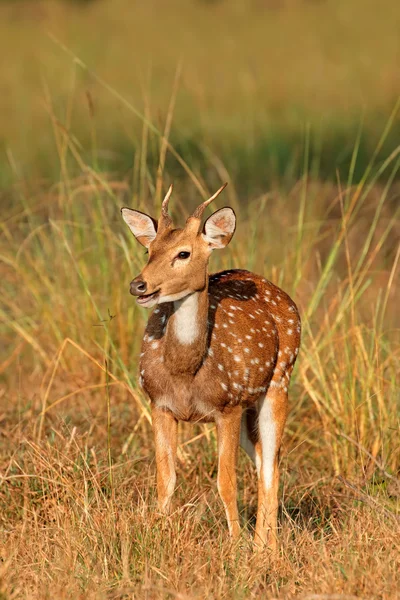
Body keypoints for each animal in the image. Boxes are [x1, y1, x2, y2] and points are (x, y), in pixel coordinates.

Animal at [122, 183, 300, 548]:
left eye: (183, 254)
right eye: (149, 250)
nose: (138, 285)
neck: (186, 372)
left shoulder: (226, 406)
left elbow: (226, 483)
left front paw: (235, 545)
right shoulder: (157, 403)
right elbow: (166, 479)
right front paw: (156, 537)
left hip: (279, 381)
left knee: (272, 464)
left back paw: (265, 548)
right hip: (250, 407)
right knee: (264, 460)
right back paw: (264, 544)